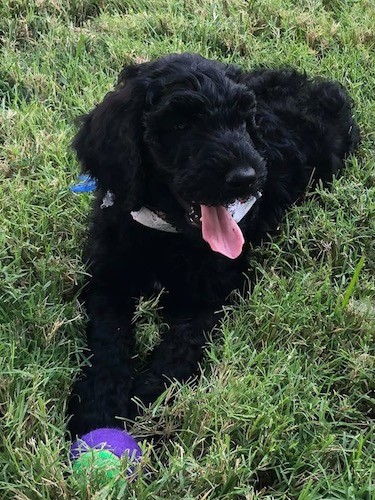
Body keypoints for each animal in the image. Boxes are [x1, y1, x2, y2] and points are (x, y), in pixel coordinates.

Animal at [67, 52, 358, 440]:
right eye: (179, 125)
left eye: (241, 121)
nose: (246, 178)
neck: (166, 232)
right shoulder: (108, 276)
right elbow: (106, 338)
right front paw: (99, 407)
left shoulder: (211, 292)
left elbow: (180, 346)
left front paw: (150, 404)